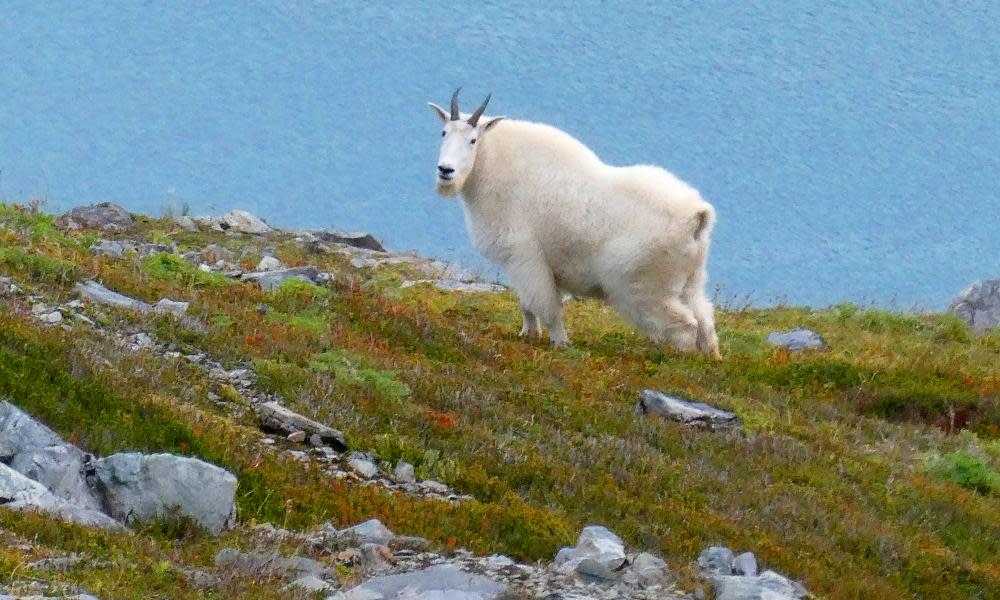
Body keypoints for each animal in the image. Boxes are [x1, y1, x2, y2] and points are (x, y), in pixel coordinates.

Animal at [430, 89, 720, 358]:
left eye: (473, 139)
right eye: (443, 132)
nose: (446, 170)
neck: (494, 165)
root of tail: (697, 216)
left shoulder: (526, 255)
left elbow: (547, 305)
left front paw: (560, 342)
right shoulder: (519, 262)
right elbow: (526, 304)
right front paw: (528, 334)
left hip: (646, 287)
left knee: (685, 326)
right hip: (691, 280)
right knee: (704, 319)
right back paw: (711, 358)